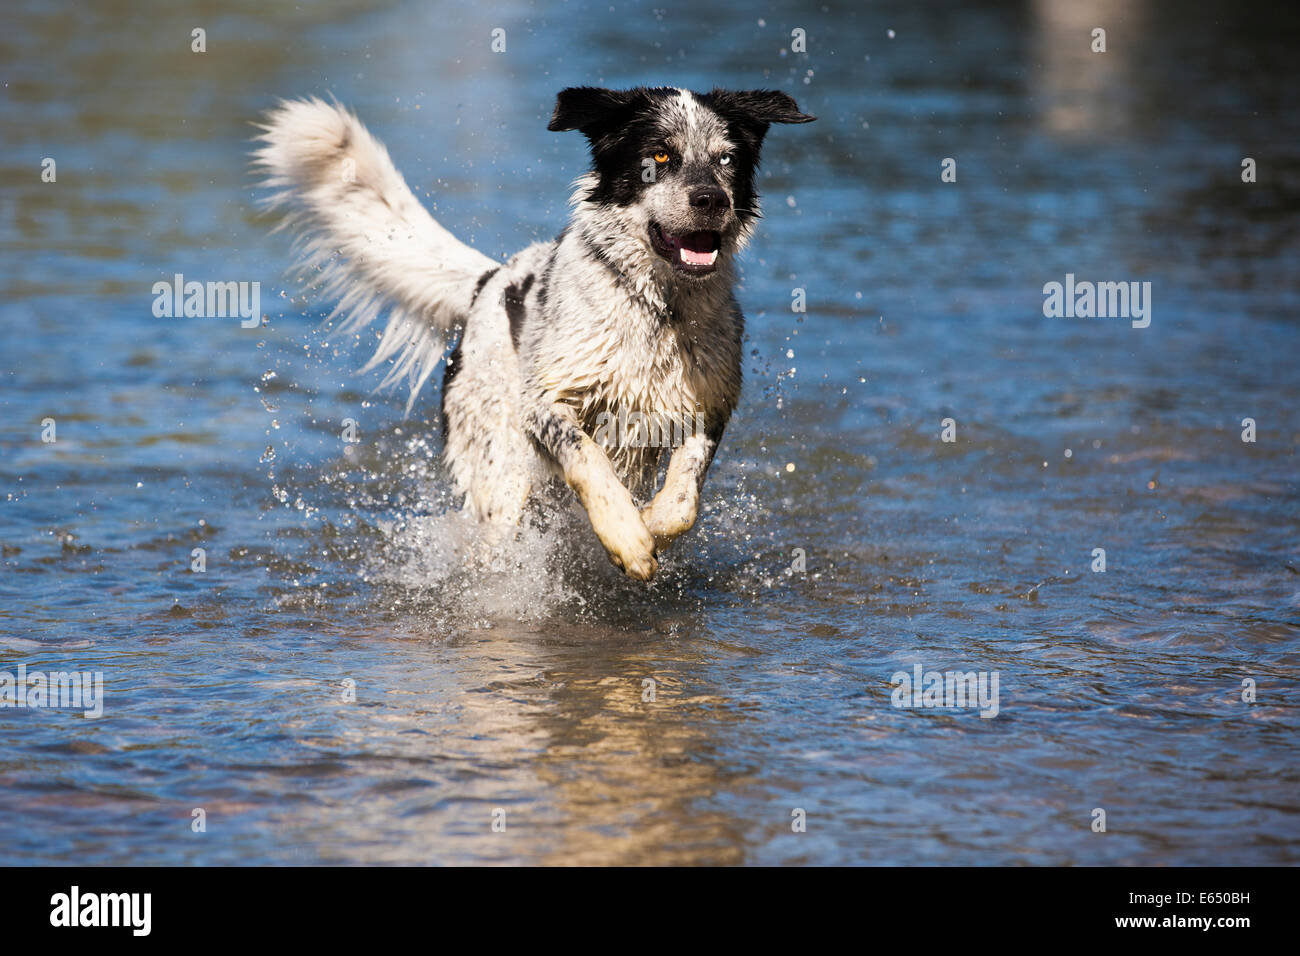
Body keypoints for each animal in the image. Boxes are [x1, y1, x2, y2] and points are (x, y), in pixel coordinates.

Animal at [253, 89, 811, 580]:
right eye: (659, 155)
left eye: (727, 159)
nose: (711, 199)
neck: (657, 308)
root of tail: (488, 280)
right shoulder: (545, 403)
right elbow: (587, 459)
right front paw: (628, 538)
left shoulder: (710, 403)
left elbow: (684, 497)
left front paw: (650, 523)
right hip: (499, 466)